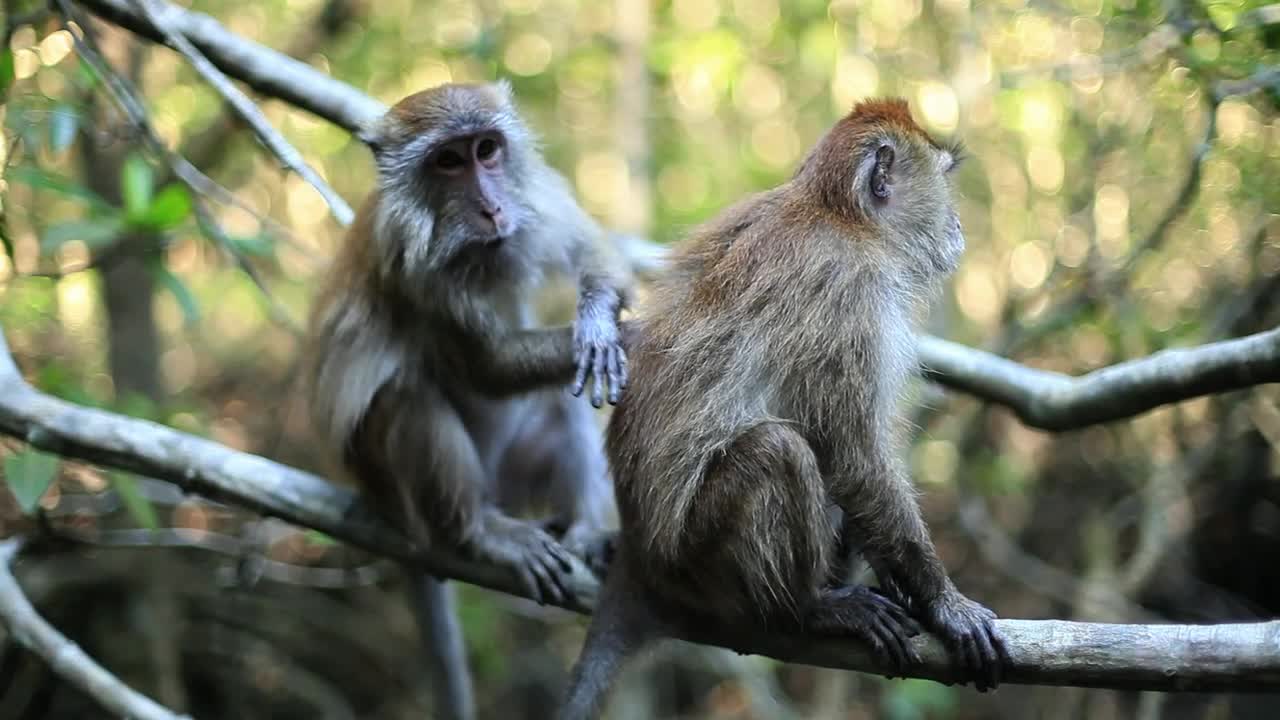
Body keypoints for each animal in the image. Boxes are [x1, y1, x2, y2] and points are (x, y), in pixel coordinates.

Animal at [304, 81, 631, 720]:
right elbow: (488, 368)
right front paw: (643, 333)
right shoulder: (411, 266)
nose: (491, 208)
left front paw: (600, 323)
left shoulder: (536, 192)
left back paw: (584, 529)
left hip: (512, 474)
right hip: (399, 488)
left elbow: (593, 253)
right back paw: (478, 531)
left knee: (562, 401)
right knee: (407, 395)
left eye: (487, 150)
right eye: (448, 162)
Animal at [558, 98, 1009, 719]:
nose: (959, 225)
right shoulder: (849, 290)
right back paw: (808, 609)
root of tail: (639, 560)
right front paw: (945, 603)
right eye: (944, 178)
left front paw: (912, 589)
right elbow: (853, 460)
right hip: (700, 565)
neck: (837, 214)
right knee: (779, 449)